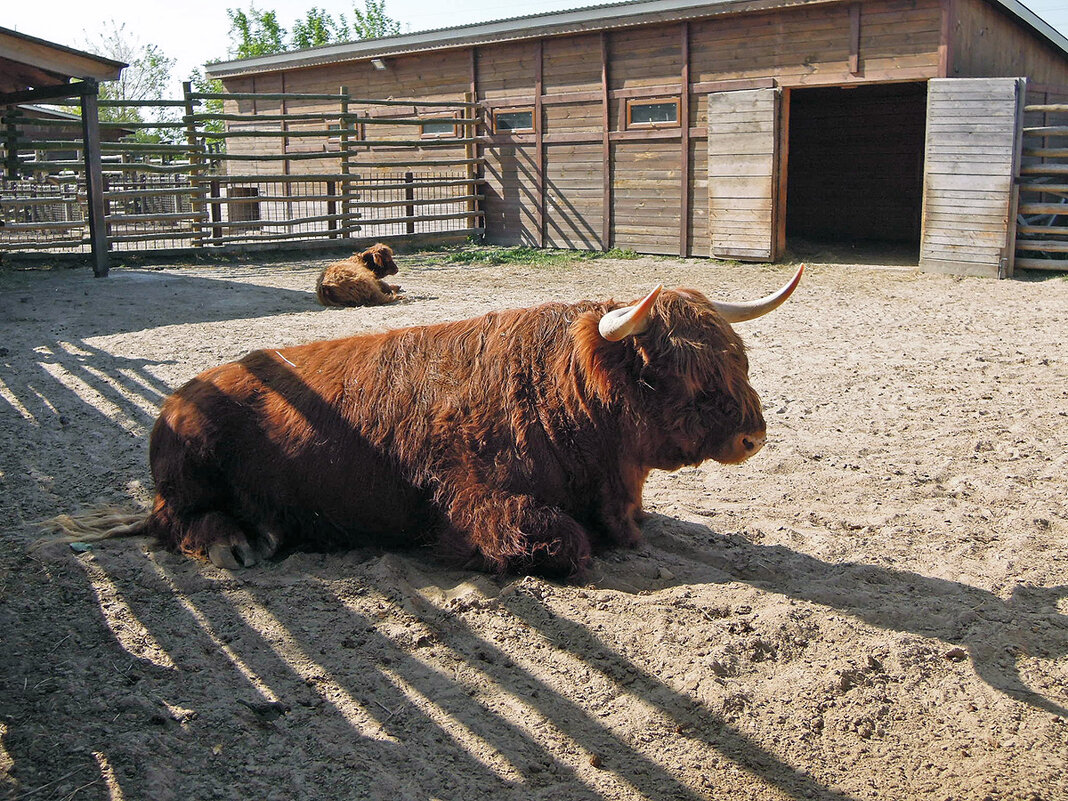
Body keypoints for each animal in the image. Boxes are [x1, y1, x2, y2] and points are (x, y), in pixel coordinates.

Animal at [52, 268, 803, 576]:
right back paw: (239, 542)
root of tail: (180, 398)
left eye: (734, 355)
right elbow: (562, 541)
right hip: (185, 477)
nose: (752, 434)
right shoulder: (478, 502)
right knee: (177, 522)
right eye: (673, 369)